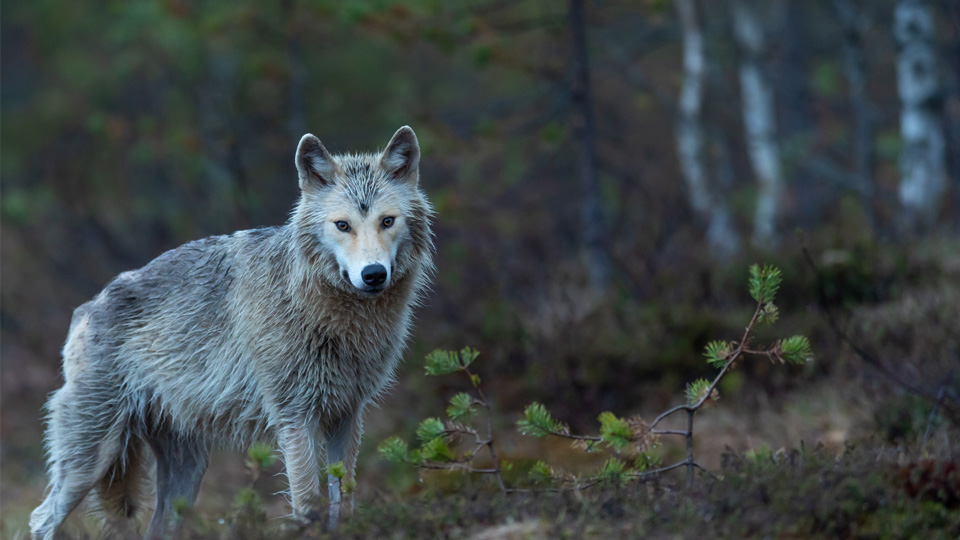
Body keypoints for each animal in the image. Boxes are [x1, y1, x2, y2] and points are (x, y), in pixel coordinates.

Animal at [29, 126, 434, 540]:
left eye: (387, 221)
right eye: (342, 225)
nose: (373, 274)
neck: (332, 316)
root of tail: (86, 307)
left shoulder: (347, 415)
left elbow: (344, 499)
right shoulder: (295, 417)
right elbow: (308, 504)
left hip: (186, 474)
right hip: (90, 460)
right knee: (40, 518)